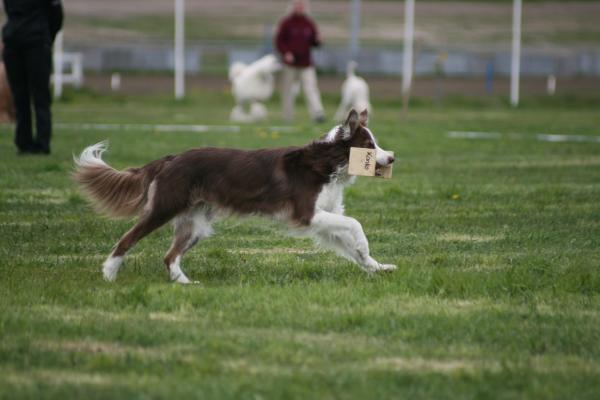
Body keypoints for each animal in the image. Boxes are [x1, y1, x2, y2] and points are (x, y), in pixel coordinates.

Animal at [74, 111, 394, 282]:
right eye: (369, 146)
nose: (392, 158)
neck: (328, 163)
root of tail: (171, 158)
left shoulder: (324, 218)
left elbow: (350, 244)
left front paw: (377, 266)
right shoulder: (307, 213)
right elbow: (355, 225)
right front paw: (367, 249)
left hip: (196, 224)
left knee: (170, 256)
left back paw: (186, 283)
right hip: (164, 207)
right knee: (127, 239)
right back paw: (109, 274)